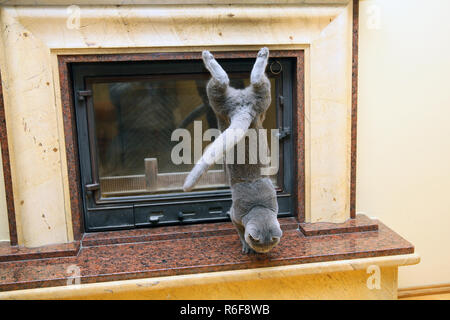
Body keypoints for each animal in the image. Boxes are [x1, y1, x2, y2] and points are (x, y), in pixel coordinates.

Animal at [183, 47, 282, 254]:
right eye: (258, 244)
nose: (263, 253)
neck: (258, 206)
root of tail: (242, 109)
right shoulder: (234, 216)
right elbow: (239, 231)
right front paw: (245, 247)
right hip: (242, 101)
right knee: (238, 80)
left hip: (239, 101)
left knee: (239, 81)